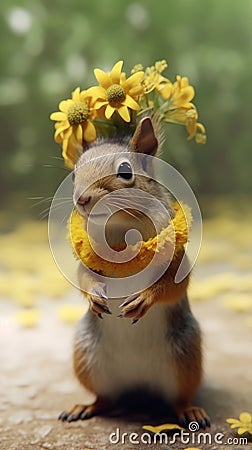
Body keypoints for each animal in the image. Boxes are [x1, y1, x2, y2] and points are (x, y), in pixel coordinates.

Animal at [59, 116, 211, 428]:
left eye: (125, 171)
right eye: (74, 173)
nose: (82, 199)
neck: (120, 229)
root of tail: (139, 384)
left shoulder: (176, 258)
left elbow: (174, 286)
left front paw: (145, 298)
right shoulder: (87, 261)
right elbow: (83, 277)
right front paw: (94, 295)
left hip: (186, 358)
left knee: (179, 398)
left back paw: (190, 411)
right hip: (88, 359)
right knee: (105, 399)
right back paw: (85, 406)